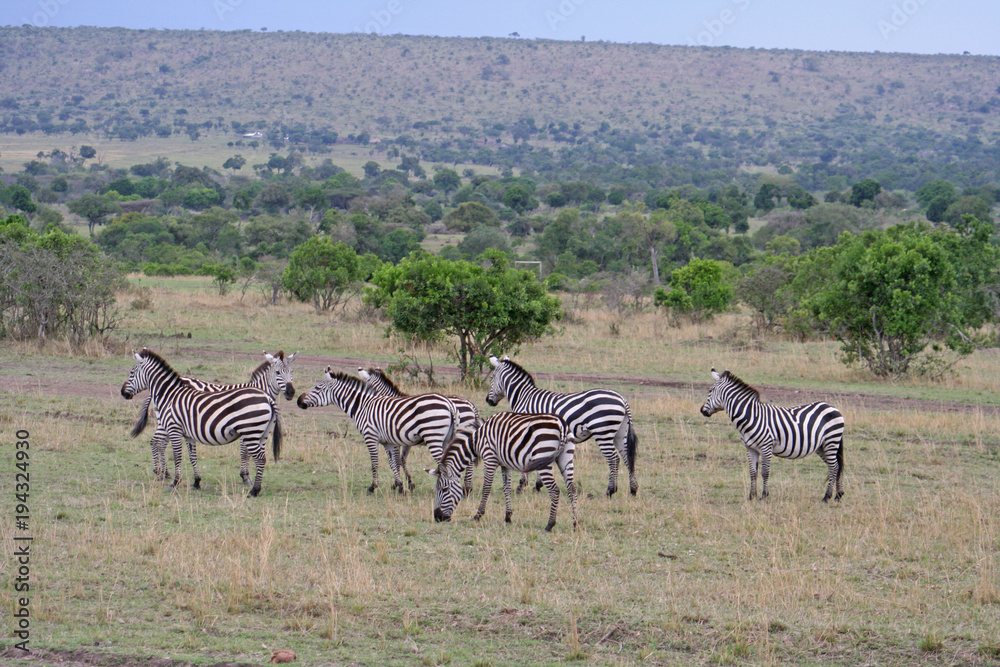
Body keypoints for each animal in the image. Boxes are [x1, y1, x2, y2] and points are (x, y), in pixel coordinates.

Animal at [120, 349, 280, 497]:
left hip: (250, 432)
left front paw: (175, 483)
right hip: (263, 433)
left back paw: (254, 491)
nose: (122, 392)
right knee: (262, 457)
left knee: (260, 458)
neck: (170, 395)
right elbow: (192, 456)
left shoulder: (174, 429)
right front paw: (197, 482)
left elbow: (177, 455)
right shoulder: (188, 434)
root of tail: (267, 397)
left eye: (132, 372)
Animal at [297, 367, 461, 494]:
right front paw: (400, 487)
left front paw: (373, 487)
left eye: (317, 387)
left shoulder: (371, 437)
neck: (363, 406)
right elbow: (393, 463)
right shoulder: (388, 441)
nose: (298, 401)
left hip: (433, 437)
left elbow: (375, 462)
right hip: (446, 439)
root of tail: (449, 403)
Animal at [428, 412, 577, 532]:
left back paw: (550, 524)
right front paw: (508, 517)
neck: (477, 440)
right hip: (566, 458)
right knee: (571, 489)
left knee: (555, 490)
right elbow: (506, 488)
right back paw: (575, 523)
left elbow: (486, 488)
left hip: (543, 459)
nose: (437, 517)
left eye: (444, 489)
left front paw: (478, 515)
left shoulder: (490, 459)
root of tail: (562, 424)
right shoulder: (504, 464)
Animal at [485, 355, 638, 498]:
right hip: (620, 432)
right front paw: (537, 485)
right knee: (627, 457)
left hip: (603, 432)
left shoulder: (526, 432)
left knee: (613, 459)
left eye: (492, 377)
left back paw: (610, 490)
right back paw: (633, 489)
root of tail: (622, 398)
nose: (488, 401)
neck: (523, 397)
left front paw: (521, 486)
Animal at [700, 368, 845, 502]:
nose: (702, 410)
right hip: (821, 446)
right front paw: (752, 496)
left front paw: (764, 496)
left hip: (831, 441)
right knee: (835, 466)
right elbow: (753, 473)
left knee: (833, 467)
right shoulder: (750, 448)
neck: (751, 417)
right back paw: (838, 495)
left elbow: (765, 472)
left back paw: (826, 497)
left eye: (710, 391)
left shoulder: (766, 447)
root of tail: (833, 407)